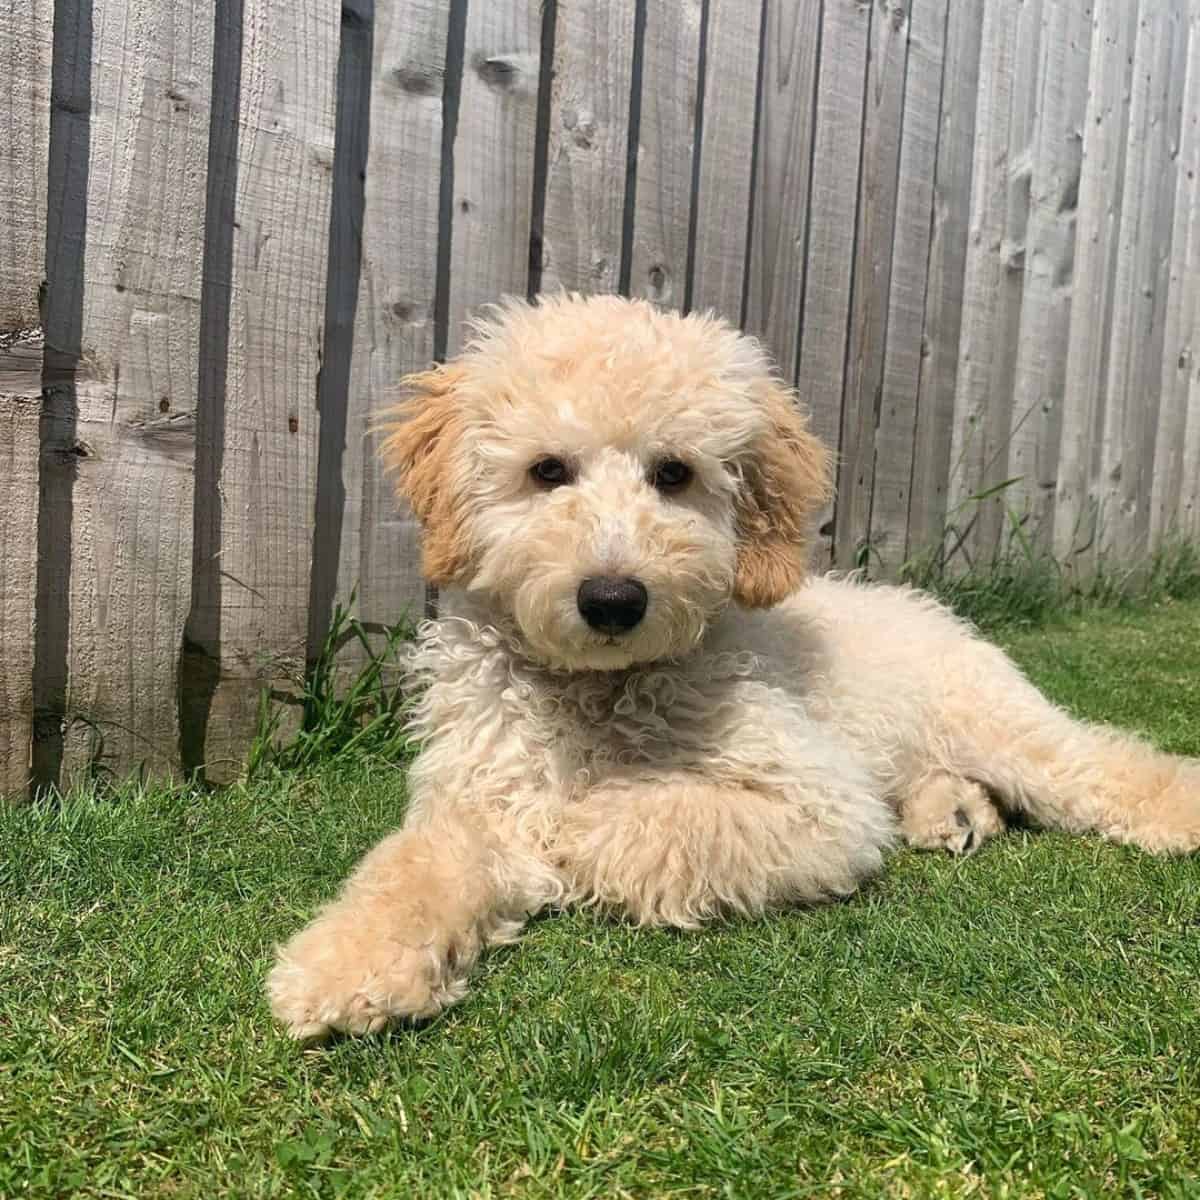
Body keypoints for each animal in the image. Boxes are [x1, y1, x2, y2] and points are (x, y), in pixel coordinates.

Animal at [270, 292, 1200, 1041]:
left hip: (999, 724)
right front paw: (343, 968)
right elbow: (414, 866)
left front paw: (572, 832)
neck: (598, 691)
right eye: (547, 470)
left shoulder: (820, 801)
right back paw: (955, 811)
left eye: (674, 472)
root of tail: (925, 607)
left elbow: (652, 815)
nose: (613, 598)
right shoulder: (473, 789)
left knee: (1100, 764)